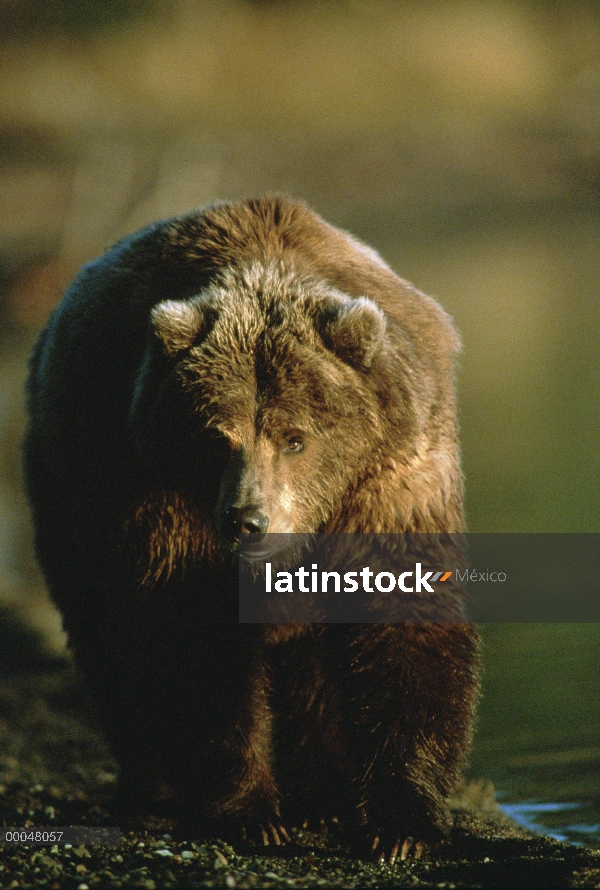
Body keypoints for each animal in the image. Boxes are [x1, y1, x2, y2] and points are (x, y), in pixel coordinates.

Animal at [24, 194, 478, 860]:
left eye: (295, 438)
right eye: (217, 437)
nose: (248, 520)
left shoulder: (391, 477)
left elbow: (403, 621)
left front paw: (401, 825)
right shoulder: (157, 493)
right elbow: (200, 644)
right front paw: (250, 813)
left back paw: (323, 790)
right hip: (69, 491)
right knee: (110, 640)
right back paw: (153, 786)